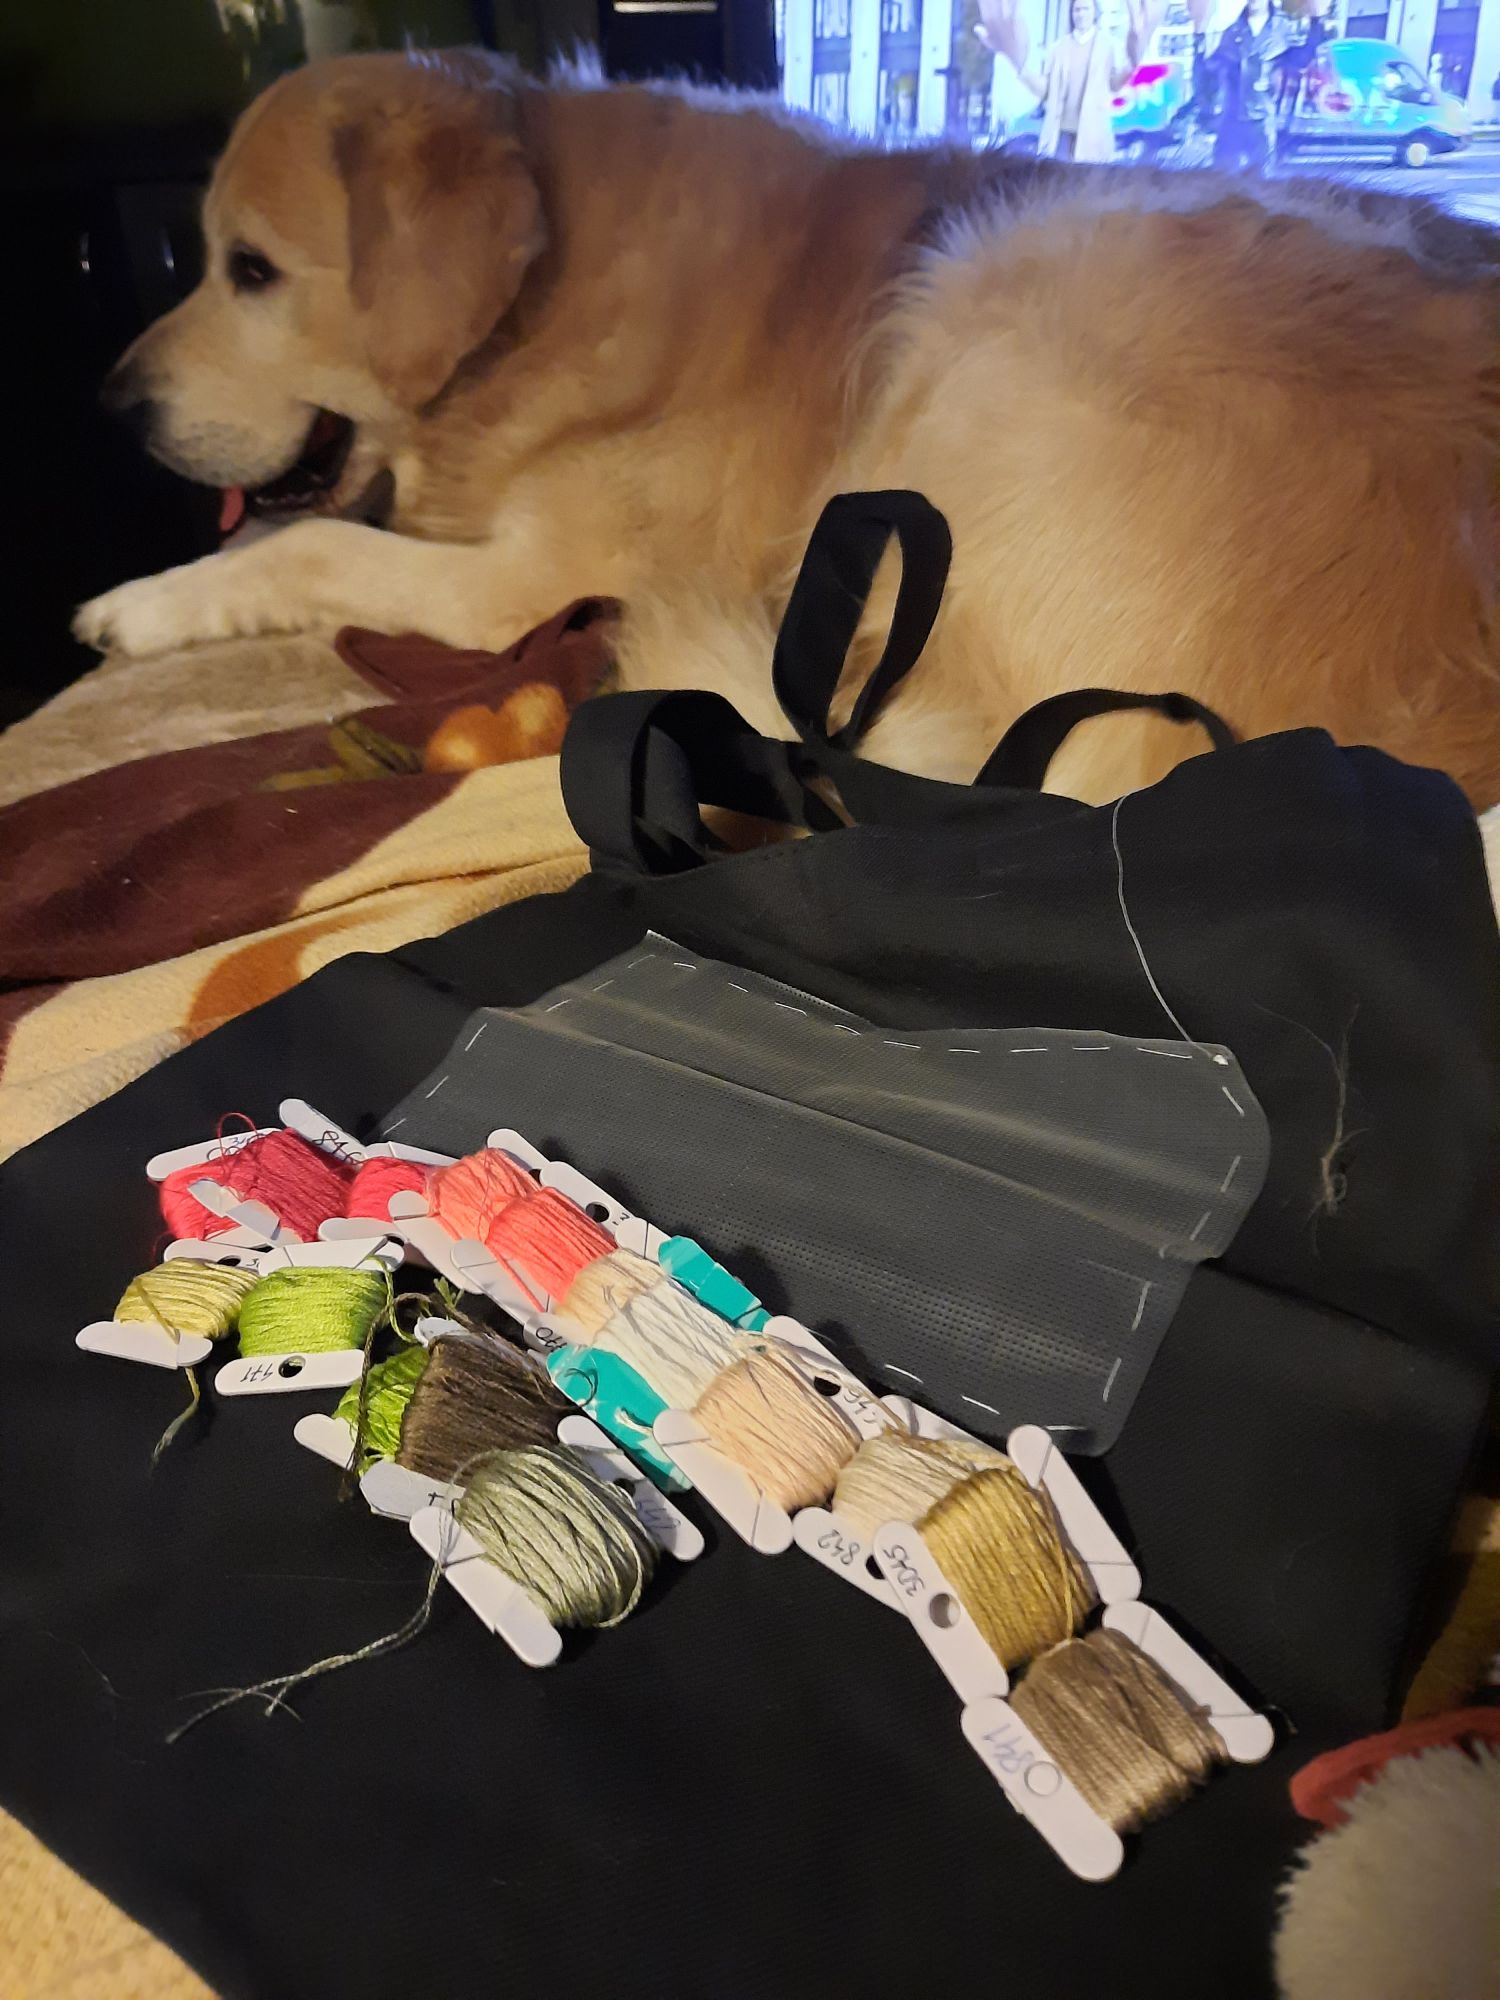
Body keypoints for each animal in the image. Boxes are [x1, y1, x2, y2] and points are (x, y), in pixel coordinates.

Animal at [77, 49, 1500, 804]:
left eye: (250, 270)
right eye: (200, 256)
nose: (113, 404)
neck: (547, 292)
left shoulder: (518, 582)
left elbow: (301, 548)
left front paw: (140, 602)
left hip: (1018, 290)